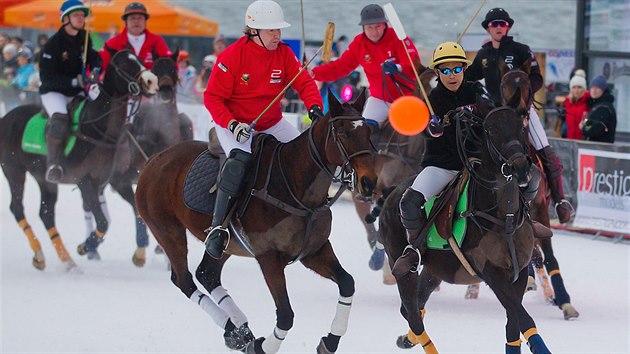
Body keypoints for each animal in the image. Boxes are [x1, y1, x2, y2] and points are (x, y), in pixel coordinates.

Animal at [0, 50, 158, 272]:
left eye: (140, 59)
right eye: (123, 65)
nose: (152, 81)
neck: (101, 131)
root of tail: (5, 118)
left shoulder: (116, 181)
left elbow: (135, 209)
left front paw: (139, 254)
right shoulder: (86, 182)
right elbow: (102, 222)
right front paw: (86, 246)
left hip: (44, 179)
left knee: (46, 213)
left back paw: (67, 261)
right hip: (14, 170)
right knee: (17, 208)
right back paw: (40, 254)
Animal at [136, 92, 378, 354]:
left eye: (368, 131)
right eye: (342, 132)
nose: (369, 183)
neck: (296, 188)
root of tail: (154, 159)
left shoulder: (315, 250)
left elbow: (347, 283)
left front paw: (330, 341)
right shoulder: (268, 257)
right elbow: (286, 315)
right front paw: (261, 347)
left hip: (227, 245)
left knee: (207, 274)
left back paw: (238, 331)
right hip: (167, 230)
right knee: (184, 279)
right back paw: (235, 331)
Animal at [380, 97, 552, 354]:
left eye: (521, 127)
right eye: (490, 130)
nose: (521, 168)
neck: (504, 217)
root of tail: (391, 194)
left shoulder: (518, 271)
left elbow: (513, 325)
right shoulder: (491, 272)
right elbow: (522, 317)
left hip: (436, 269)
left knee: (414, 307)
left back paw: (406, 339)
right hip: (400, 264)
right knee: (413, 314)